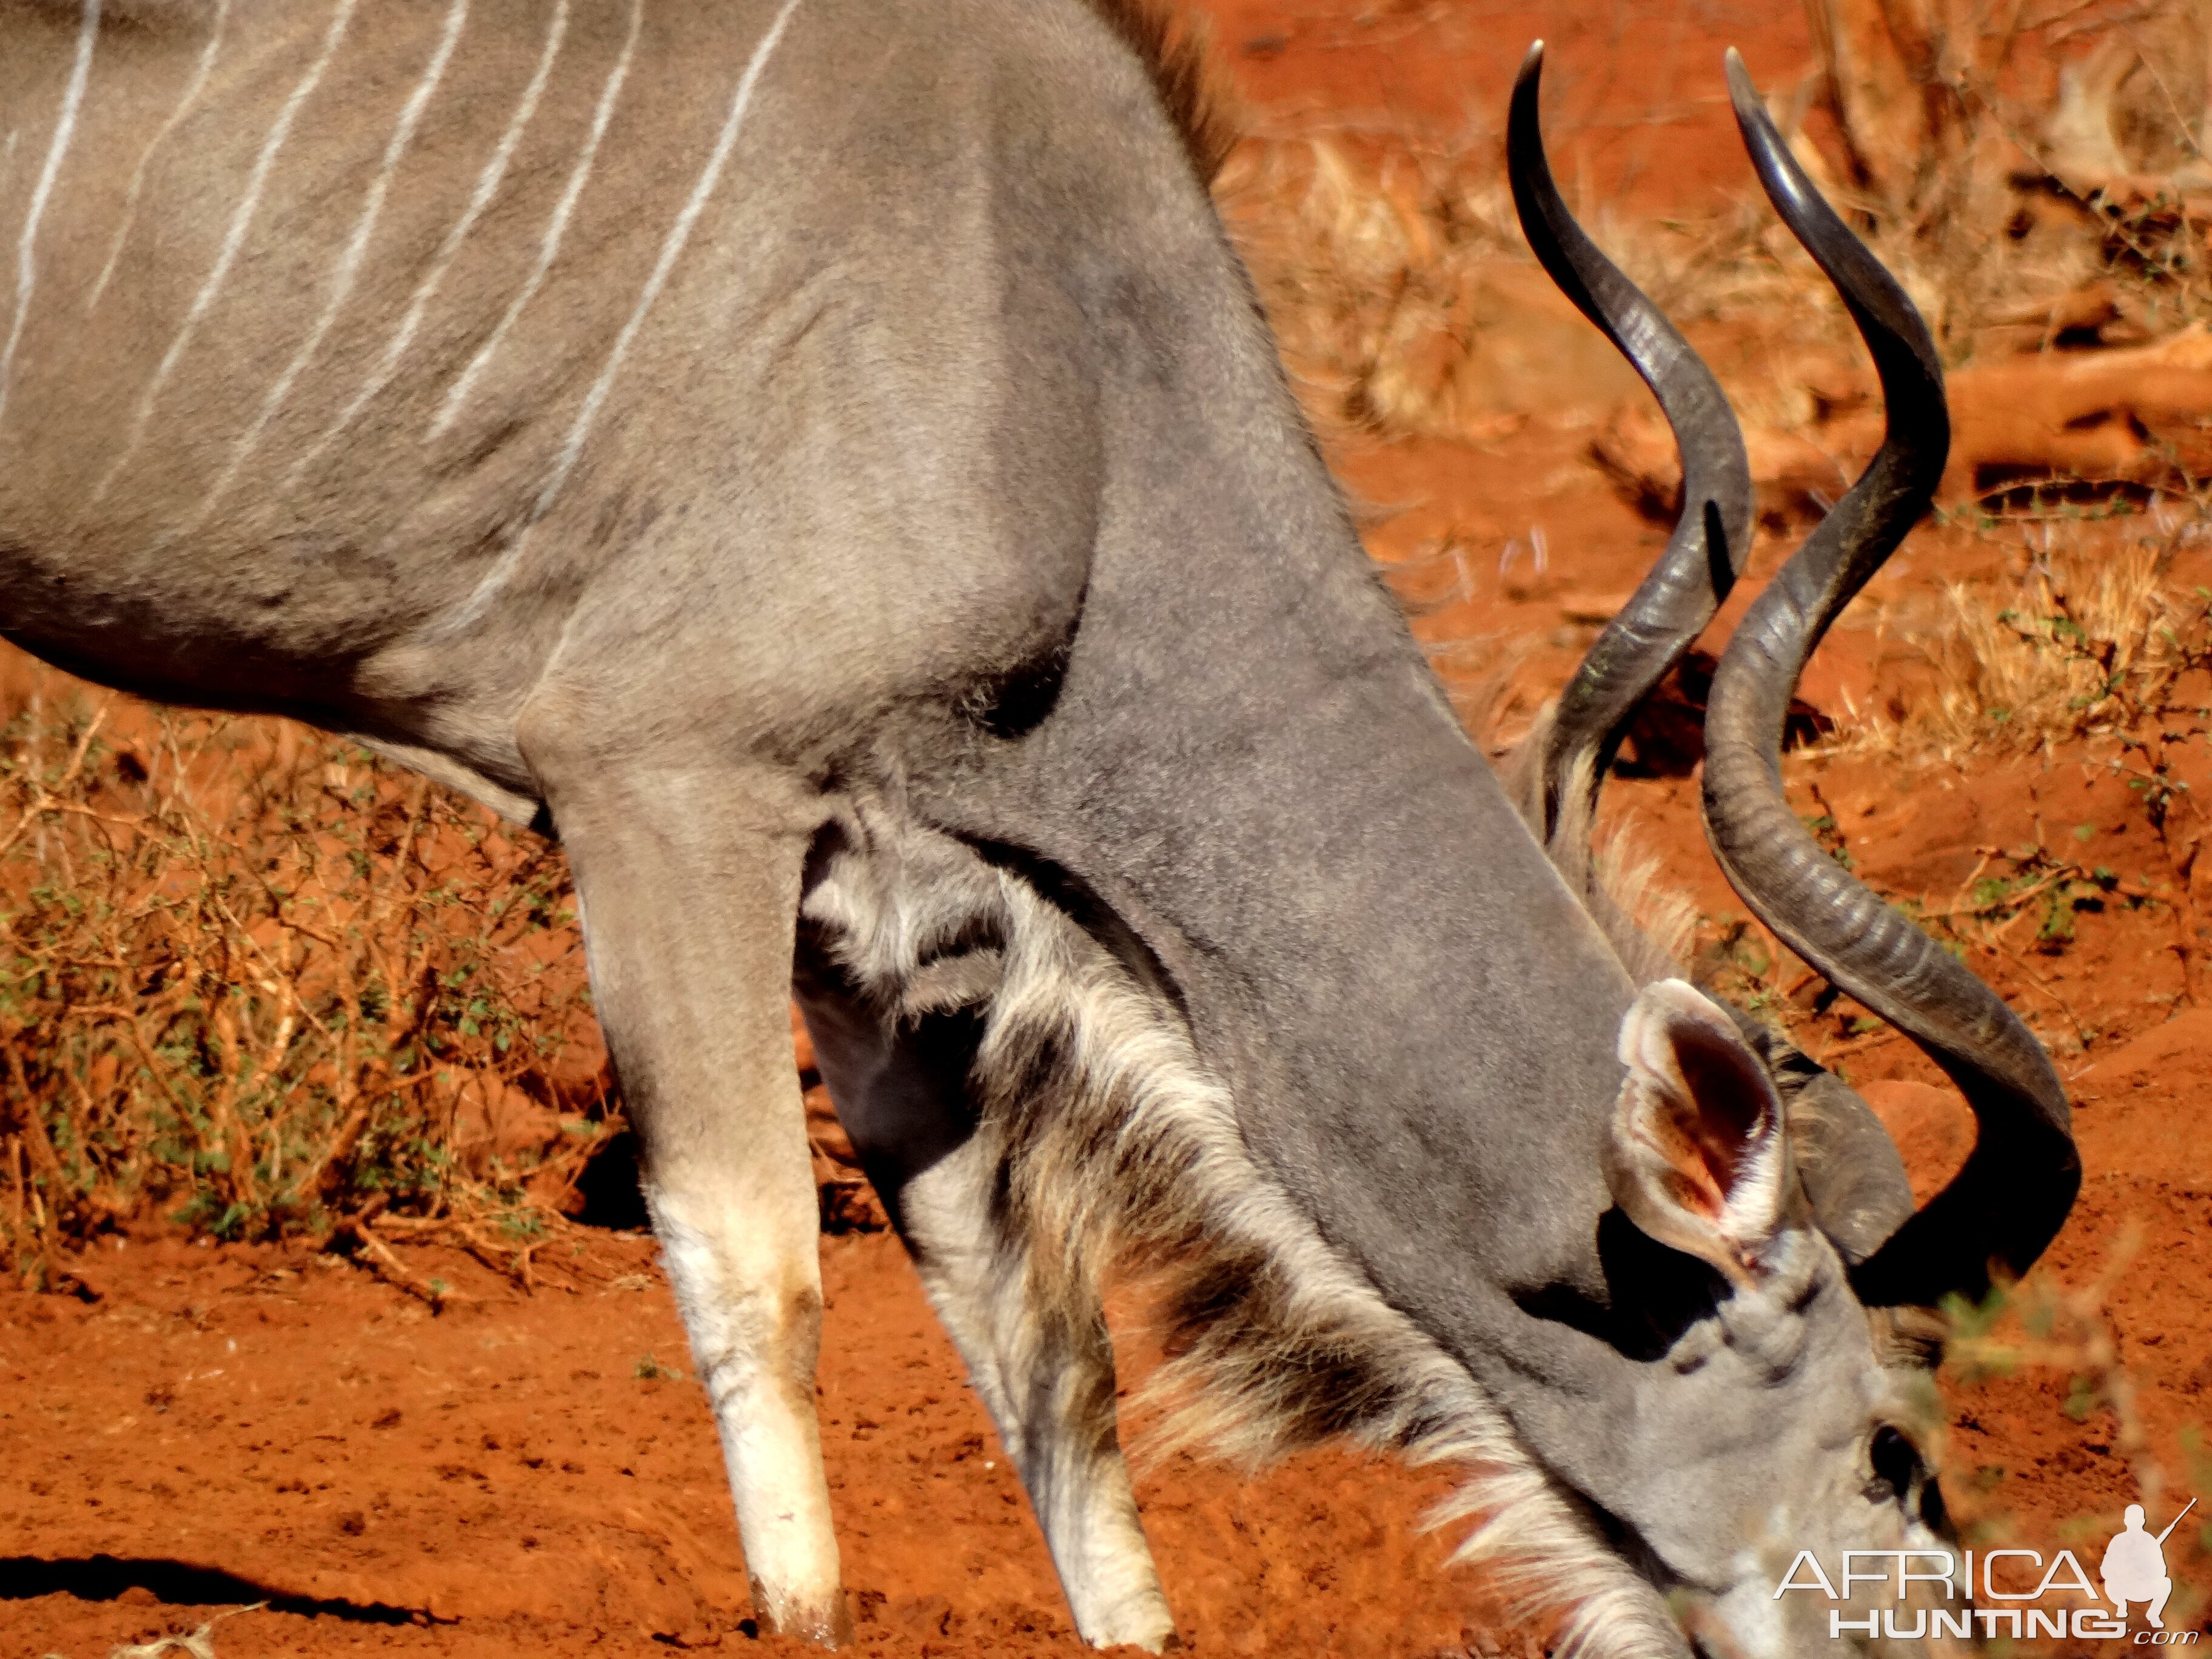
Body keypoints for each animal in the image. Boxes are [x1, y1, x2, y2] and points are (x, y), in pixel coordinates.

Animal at [0, 3, 2070, 1654]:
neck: (1064, 384)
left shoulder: (873, 909)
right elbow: (760, 1268)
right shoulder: (662, 792)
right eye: (1895, 1448)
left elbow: (1041, 1330)